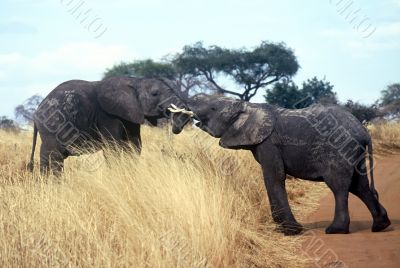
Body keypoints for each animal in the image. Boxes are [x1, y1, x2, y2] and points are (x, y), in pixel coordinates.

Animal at [28, 76, 184, 176]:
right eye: (155, 94)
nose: (175, 127)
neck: (135, 81)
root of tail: (36, 112)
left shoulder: (130, 114)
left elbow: (135, 145)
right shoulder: (106, 116)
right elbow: (112, 147)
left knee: (46, 156)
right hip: (52, 126)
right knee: (55, 157)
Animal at [172, 94, 390, 234]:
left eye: (213, 108)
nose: (176, 126)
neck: (249, 106)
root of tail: (364, 133)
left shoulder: (269, 143)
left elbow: (274, 177)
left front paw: (290, 231)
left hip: (339, 149)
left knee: (340, 186)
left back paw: (336, 230)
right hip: (355, 152)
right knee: (359, 186)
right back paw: (381, 225)